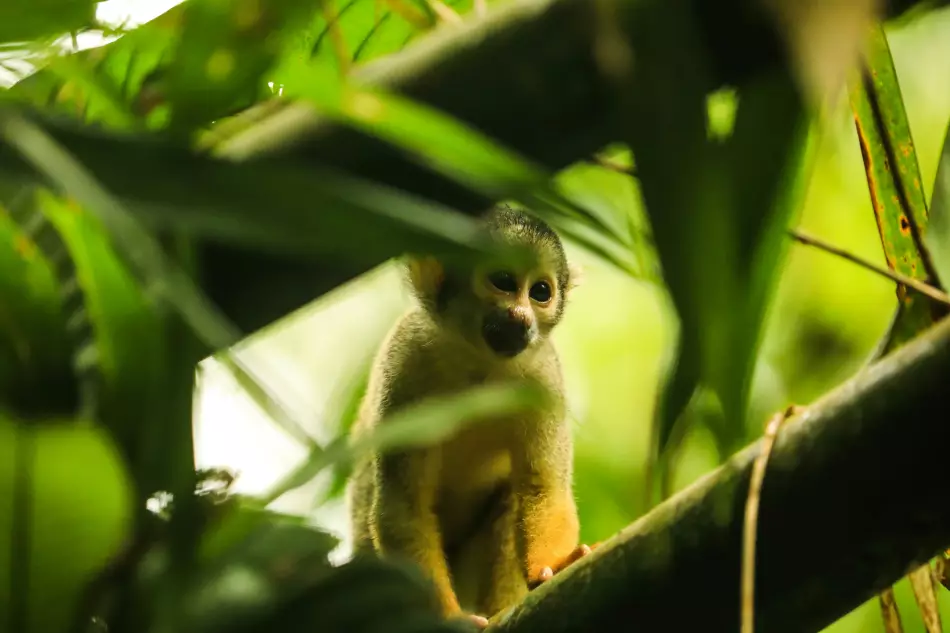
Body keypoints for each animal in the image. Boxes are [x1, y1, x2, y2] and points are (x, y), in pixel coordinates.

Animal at [346, 204, 592, 628]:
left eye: (540, 292)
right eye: (504, 282)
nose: (522, 316)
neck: (478, 361)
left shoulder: (543, 375)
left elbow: (543, 486)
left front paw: (555, 566)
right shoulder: (405, 360)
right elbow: (402, 507)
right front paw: (447, 620)